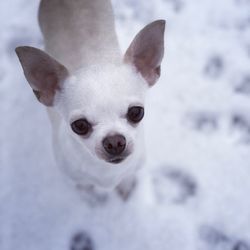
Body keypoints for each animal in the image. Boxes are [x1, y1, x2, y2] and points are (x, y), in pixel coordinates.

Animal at [14, 0, 165, 199]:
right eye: (79, 125)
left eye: (136, 112)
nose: (114, 141)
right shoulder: (76, 179)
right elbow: (85, 188)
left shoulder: (132, 167)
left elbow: (126, 177)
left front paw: (125, 188)